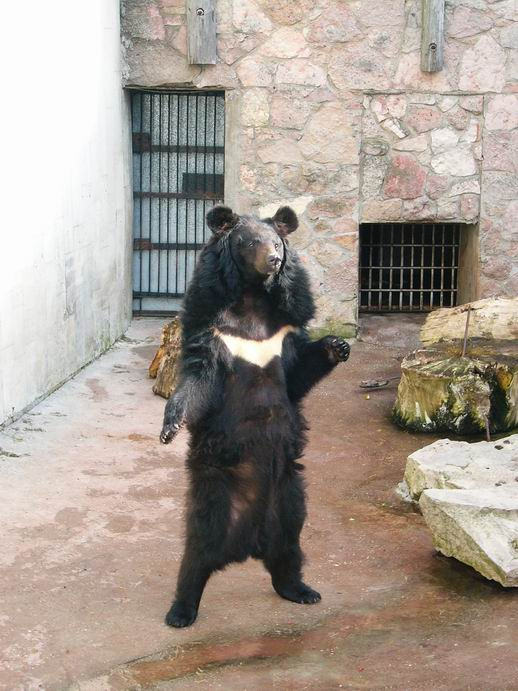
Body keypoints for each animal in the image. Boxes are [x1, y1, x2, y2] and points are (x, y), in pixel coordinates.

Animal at [160, 205, 350, 627]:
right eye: (250, 243)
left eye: (277, 242)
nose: (275, 260)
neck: (250, 297)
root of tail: (250, 541)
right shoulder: (210, 326)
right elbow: (198, 380)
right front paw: (170, 426)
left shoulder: (285, 327)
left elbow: (298, 372)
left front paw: (338, 345)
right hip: (215, 491)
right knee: (196, 552)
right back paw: (181, 611)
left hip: (290, 497)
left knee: (290, 550)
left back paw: (301, 590)